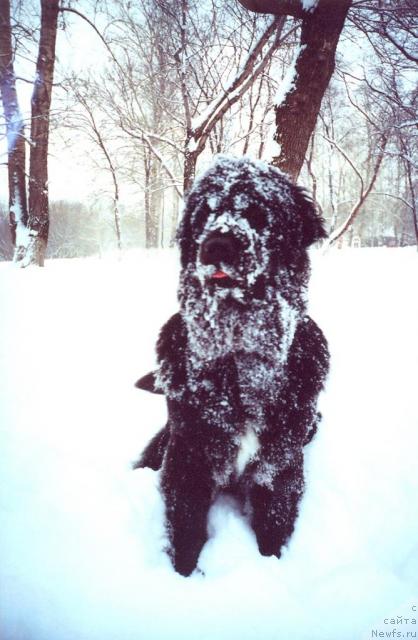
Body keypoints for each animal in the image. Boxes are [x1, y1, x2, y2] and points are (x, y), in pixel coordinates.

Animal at [134, 156, 330, 580]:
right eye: (205, 214)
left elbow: (273, 527)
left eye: (257, 213)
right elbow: (187, 529)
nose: (216, 245)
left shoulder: (279, 465)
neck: (239, 363)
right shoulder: (187, 456)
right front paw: (182, 580)